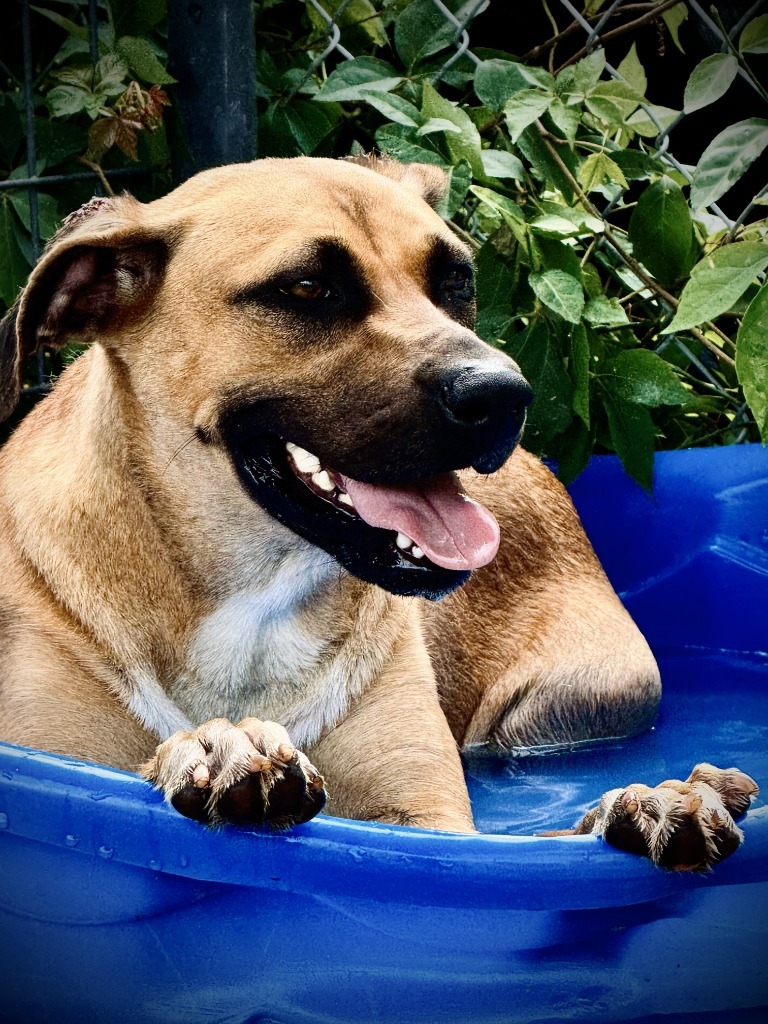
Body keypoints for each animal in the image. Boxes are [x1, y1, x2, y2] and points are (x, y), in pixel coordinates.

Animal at [0, 155, 757, 868]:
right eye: (307, 289)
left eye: (456, 282)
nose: (503, 395)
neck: (251, 608)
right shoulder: (55, 752)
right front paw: (217, 749)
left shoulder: (429, 822)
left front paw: (649, 805)